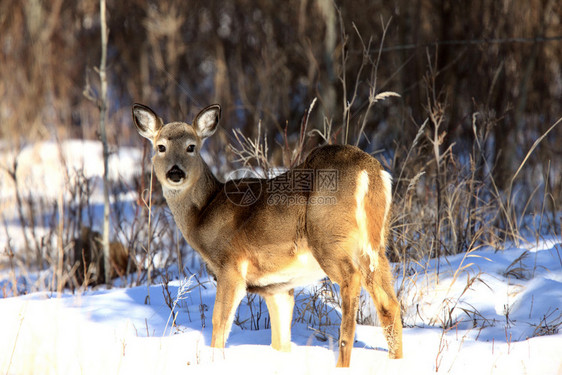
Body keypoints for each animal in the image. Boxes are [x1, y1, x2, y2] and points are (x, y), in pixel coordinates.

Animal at [132, 103, 402, 368]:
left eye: (191, 147)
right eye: (161, 147)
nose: (175, 172)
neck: (204, 212)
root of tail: (370, 172)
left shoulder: (230, 265)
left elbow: (219, 324)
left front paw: (214, 359)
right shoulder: (277, 287)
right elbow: (280, 341)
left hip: (330, 237)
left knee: (351, 281)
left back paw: (342, 362)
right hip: (377, 245)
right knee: (389, 302)